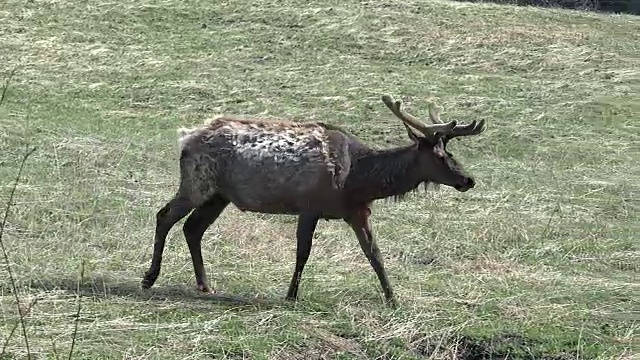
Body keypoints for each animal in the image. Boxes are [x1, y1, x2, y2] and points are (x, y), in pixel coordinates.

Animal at [142, 93, 488, 306]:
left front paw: (393, 298)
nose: (468, 180)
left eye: (450, 152)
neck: (357, 180)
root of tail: (185, 138)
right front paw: (291, 295)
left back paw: (205, 284)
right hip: (197, 182)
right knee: (165, 215)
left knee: (193, 228)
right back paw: (149, 278)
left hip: (219, 195)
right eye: (441, 156)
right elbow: (302, 253)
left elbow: (375, 254)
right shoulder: (309, 206)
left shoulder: (357, 212)